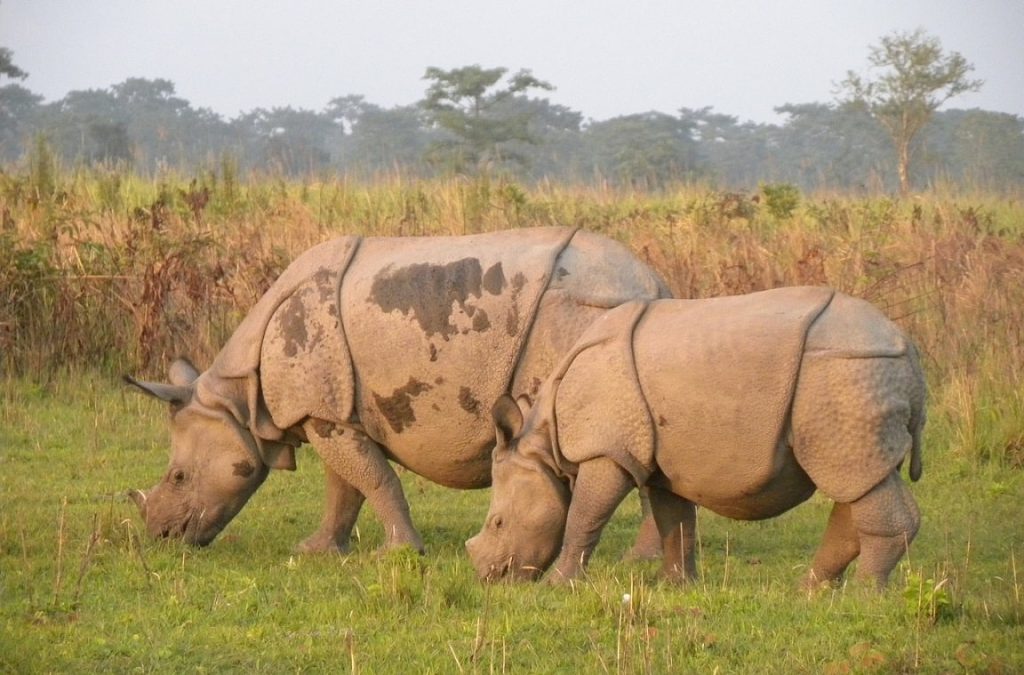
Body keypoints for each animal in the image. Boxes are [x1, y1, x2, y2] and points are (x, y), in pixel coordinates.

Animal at [123, 227, 667, 553]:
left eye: (177, 476)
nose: (162, 536)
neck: (238, 396)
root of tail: (652, 282)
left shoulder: (322, 412)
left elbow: (374, 480)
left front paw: (401, 552)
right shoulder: (332, 412)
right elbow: (345, 487)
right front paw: (317, 551)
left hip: (582, 313)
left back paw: (638, 559)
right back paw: (645, 560)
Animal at [466, 288, 929, 589]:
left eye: (498, 522)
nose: (490, 577)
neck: (545, 445)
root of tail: (908, 348)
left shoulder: (607, 451)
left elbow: (584, 516)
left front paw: (559, 586)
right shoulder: (660, 462)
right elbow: (674, 521)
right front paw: (674, 585)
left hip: (846, 373)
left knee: (856, 481)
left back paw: (864, 596)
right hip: (855, 380)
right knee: (860, 482)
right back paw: (811, 592)